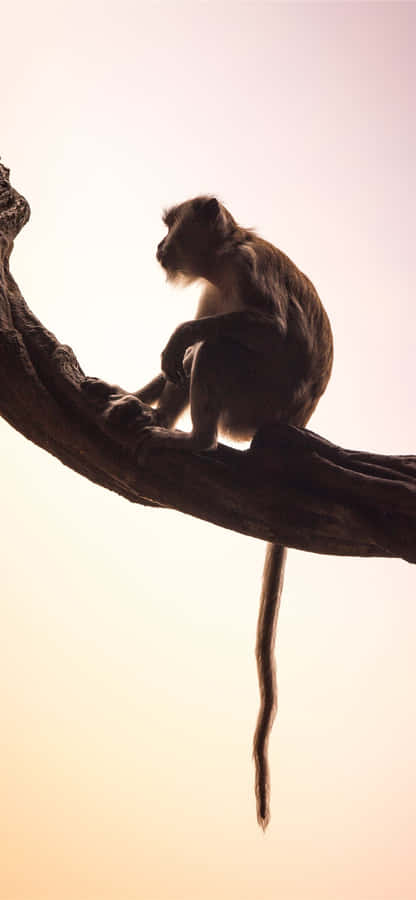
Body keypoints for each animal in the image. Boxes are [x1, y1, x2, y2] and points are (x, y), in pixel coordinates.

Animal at [134, 196, 333, 828]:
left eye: (172, 226)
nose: (160, 246)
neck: (221, 265)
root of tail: (293, 423)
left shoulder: (247, 267)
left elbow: (266, 328)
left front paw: (178, 340)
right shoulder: (211, 289)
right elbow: (179, 357)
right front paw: (134, 396)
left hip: (254, 404)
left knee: (217, 350)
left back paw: (194, 440)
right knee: (201, 359)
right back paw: (158, 419)